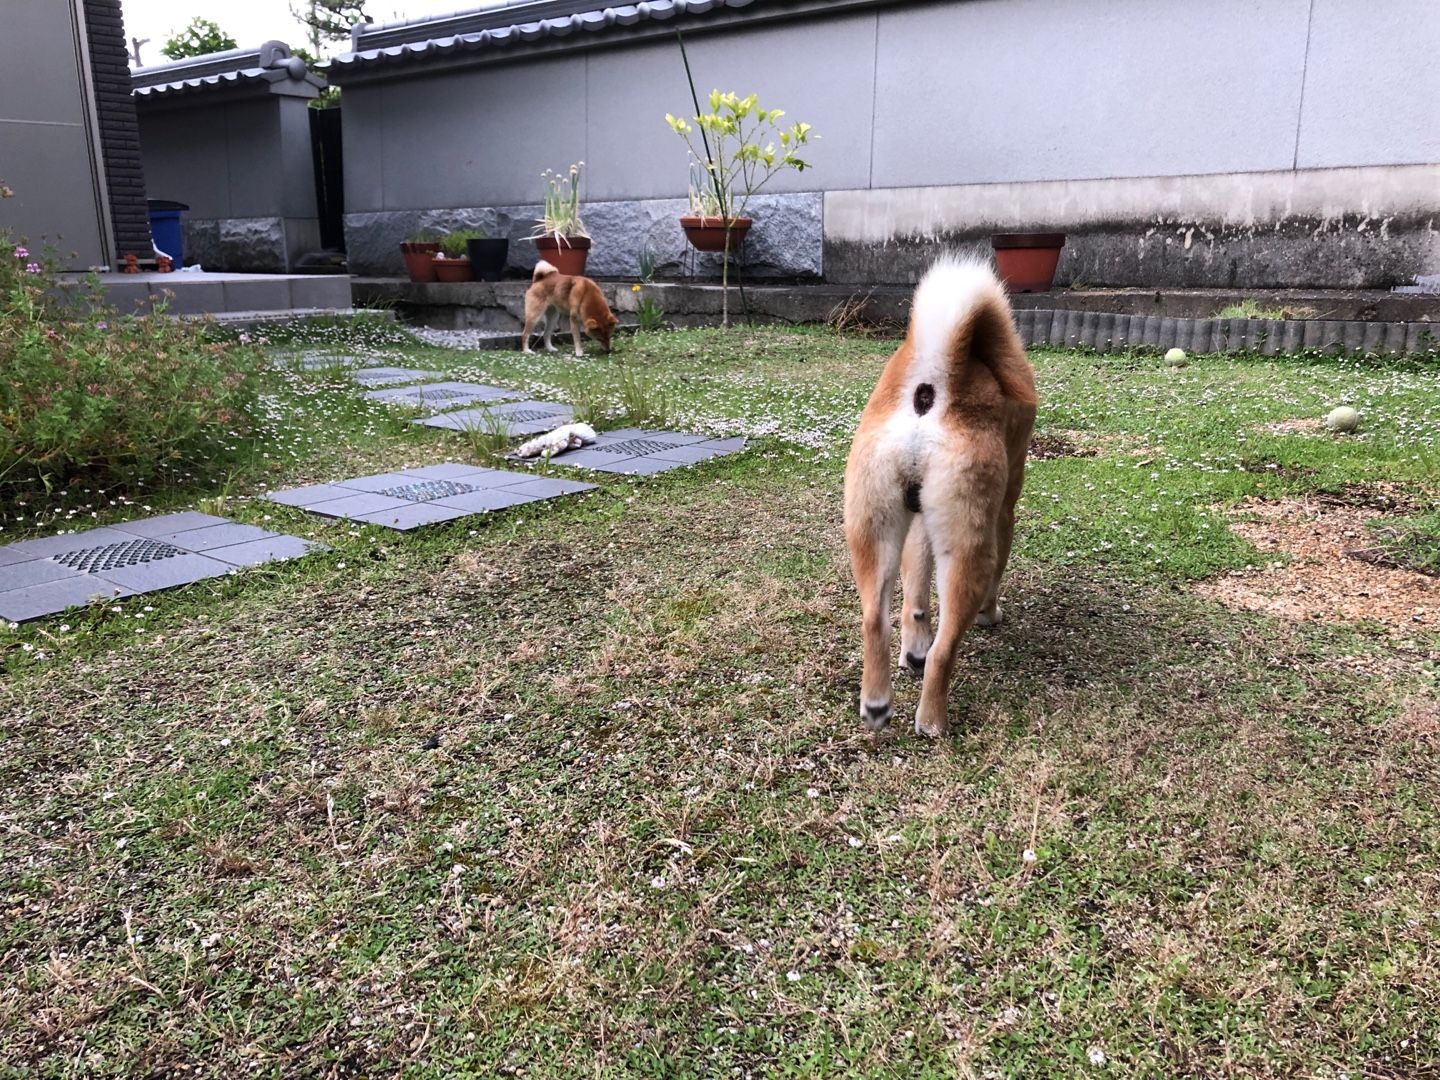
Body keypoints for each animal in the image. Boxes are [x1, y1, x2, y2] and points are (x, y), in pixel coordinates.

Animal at [840, 257, 1036, 743]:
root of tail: (929, 385)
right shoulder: (1005, 510)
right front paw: (991, 614)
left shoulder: (918, 522)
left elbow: (914, 599)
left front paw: (913, 651)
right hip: (968, 549)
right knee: (946, 650)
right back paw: (932, 720)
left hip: (873, 530)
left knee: (874, 619)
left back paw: (877, 702)